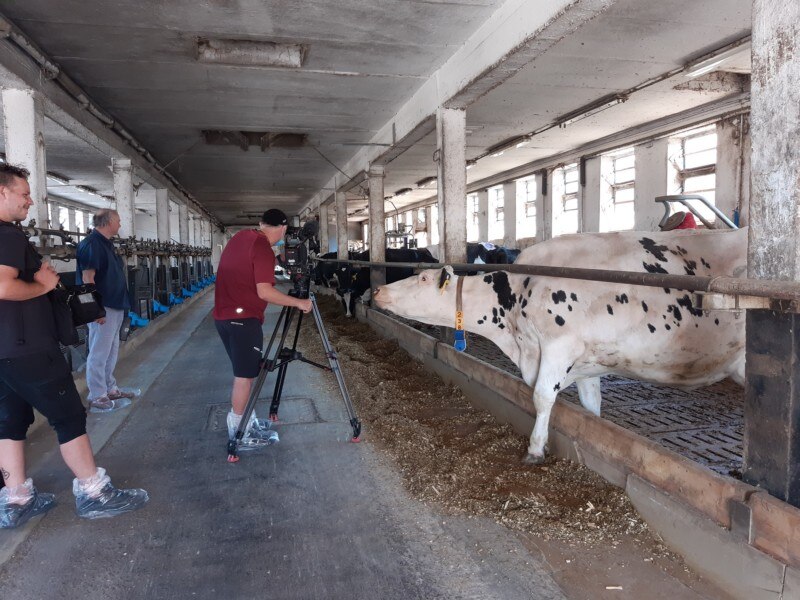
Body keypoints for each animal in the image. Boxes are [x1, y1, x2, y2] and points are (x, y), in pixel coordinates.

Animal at [372, 226, 748, 464]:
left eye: (422, 277)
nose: (378, 290)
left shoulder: (559, 346)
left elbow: (541, 396)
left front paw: (535, 449)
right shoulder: (586, 361)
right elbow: (590, 406)